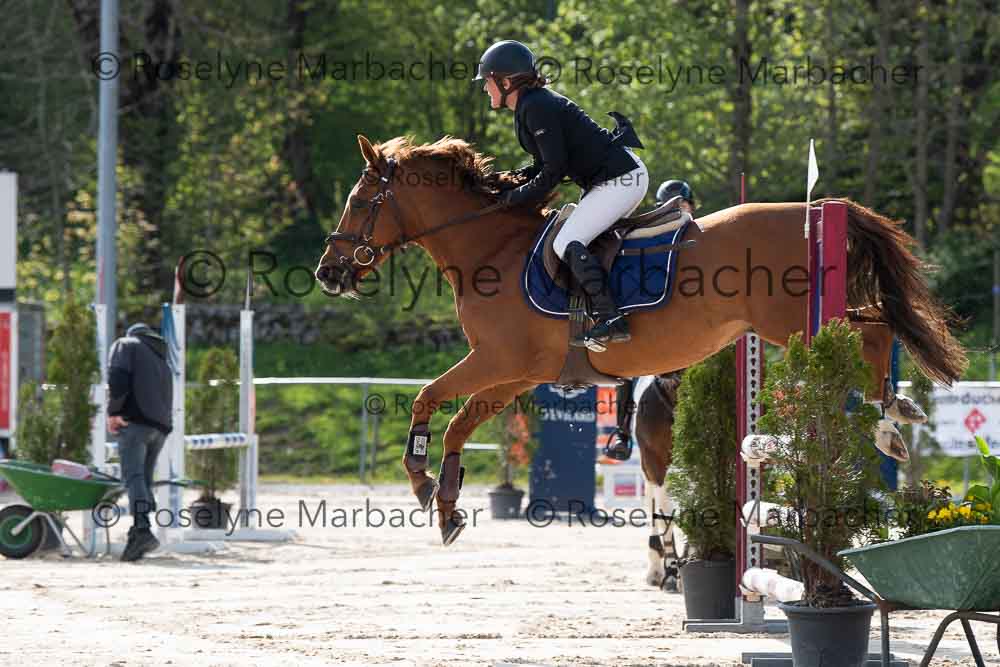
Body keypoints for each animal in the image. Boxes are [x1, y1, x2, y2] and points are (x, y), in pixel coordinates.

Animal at [314, 134, 967, 546]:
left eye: (360, 201)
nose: (327, 273)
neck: (489, 248)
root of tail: (814, 210)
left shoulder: (496, 359)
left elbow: (429, 398)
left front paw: (421, 480)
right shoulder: (517, 372)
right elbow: (456, 422)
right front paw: (444, 503)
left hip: (790, 323)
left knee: (875, 330)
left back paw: (886, 420)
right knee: (877, 326)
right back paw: (894, 413)